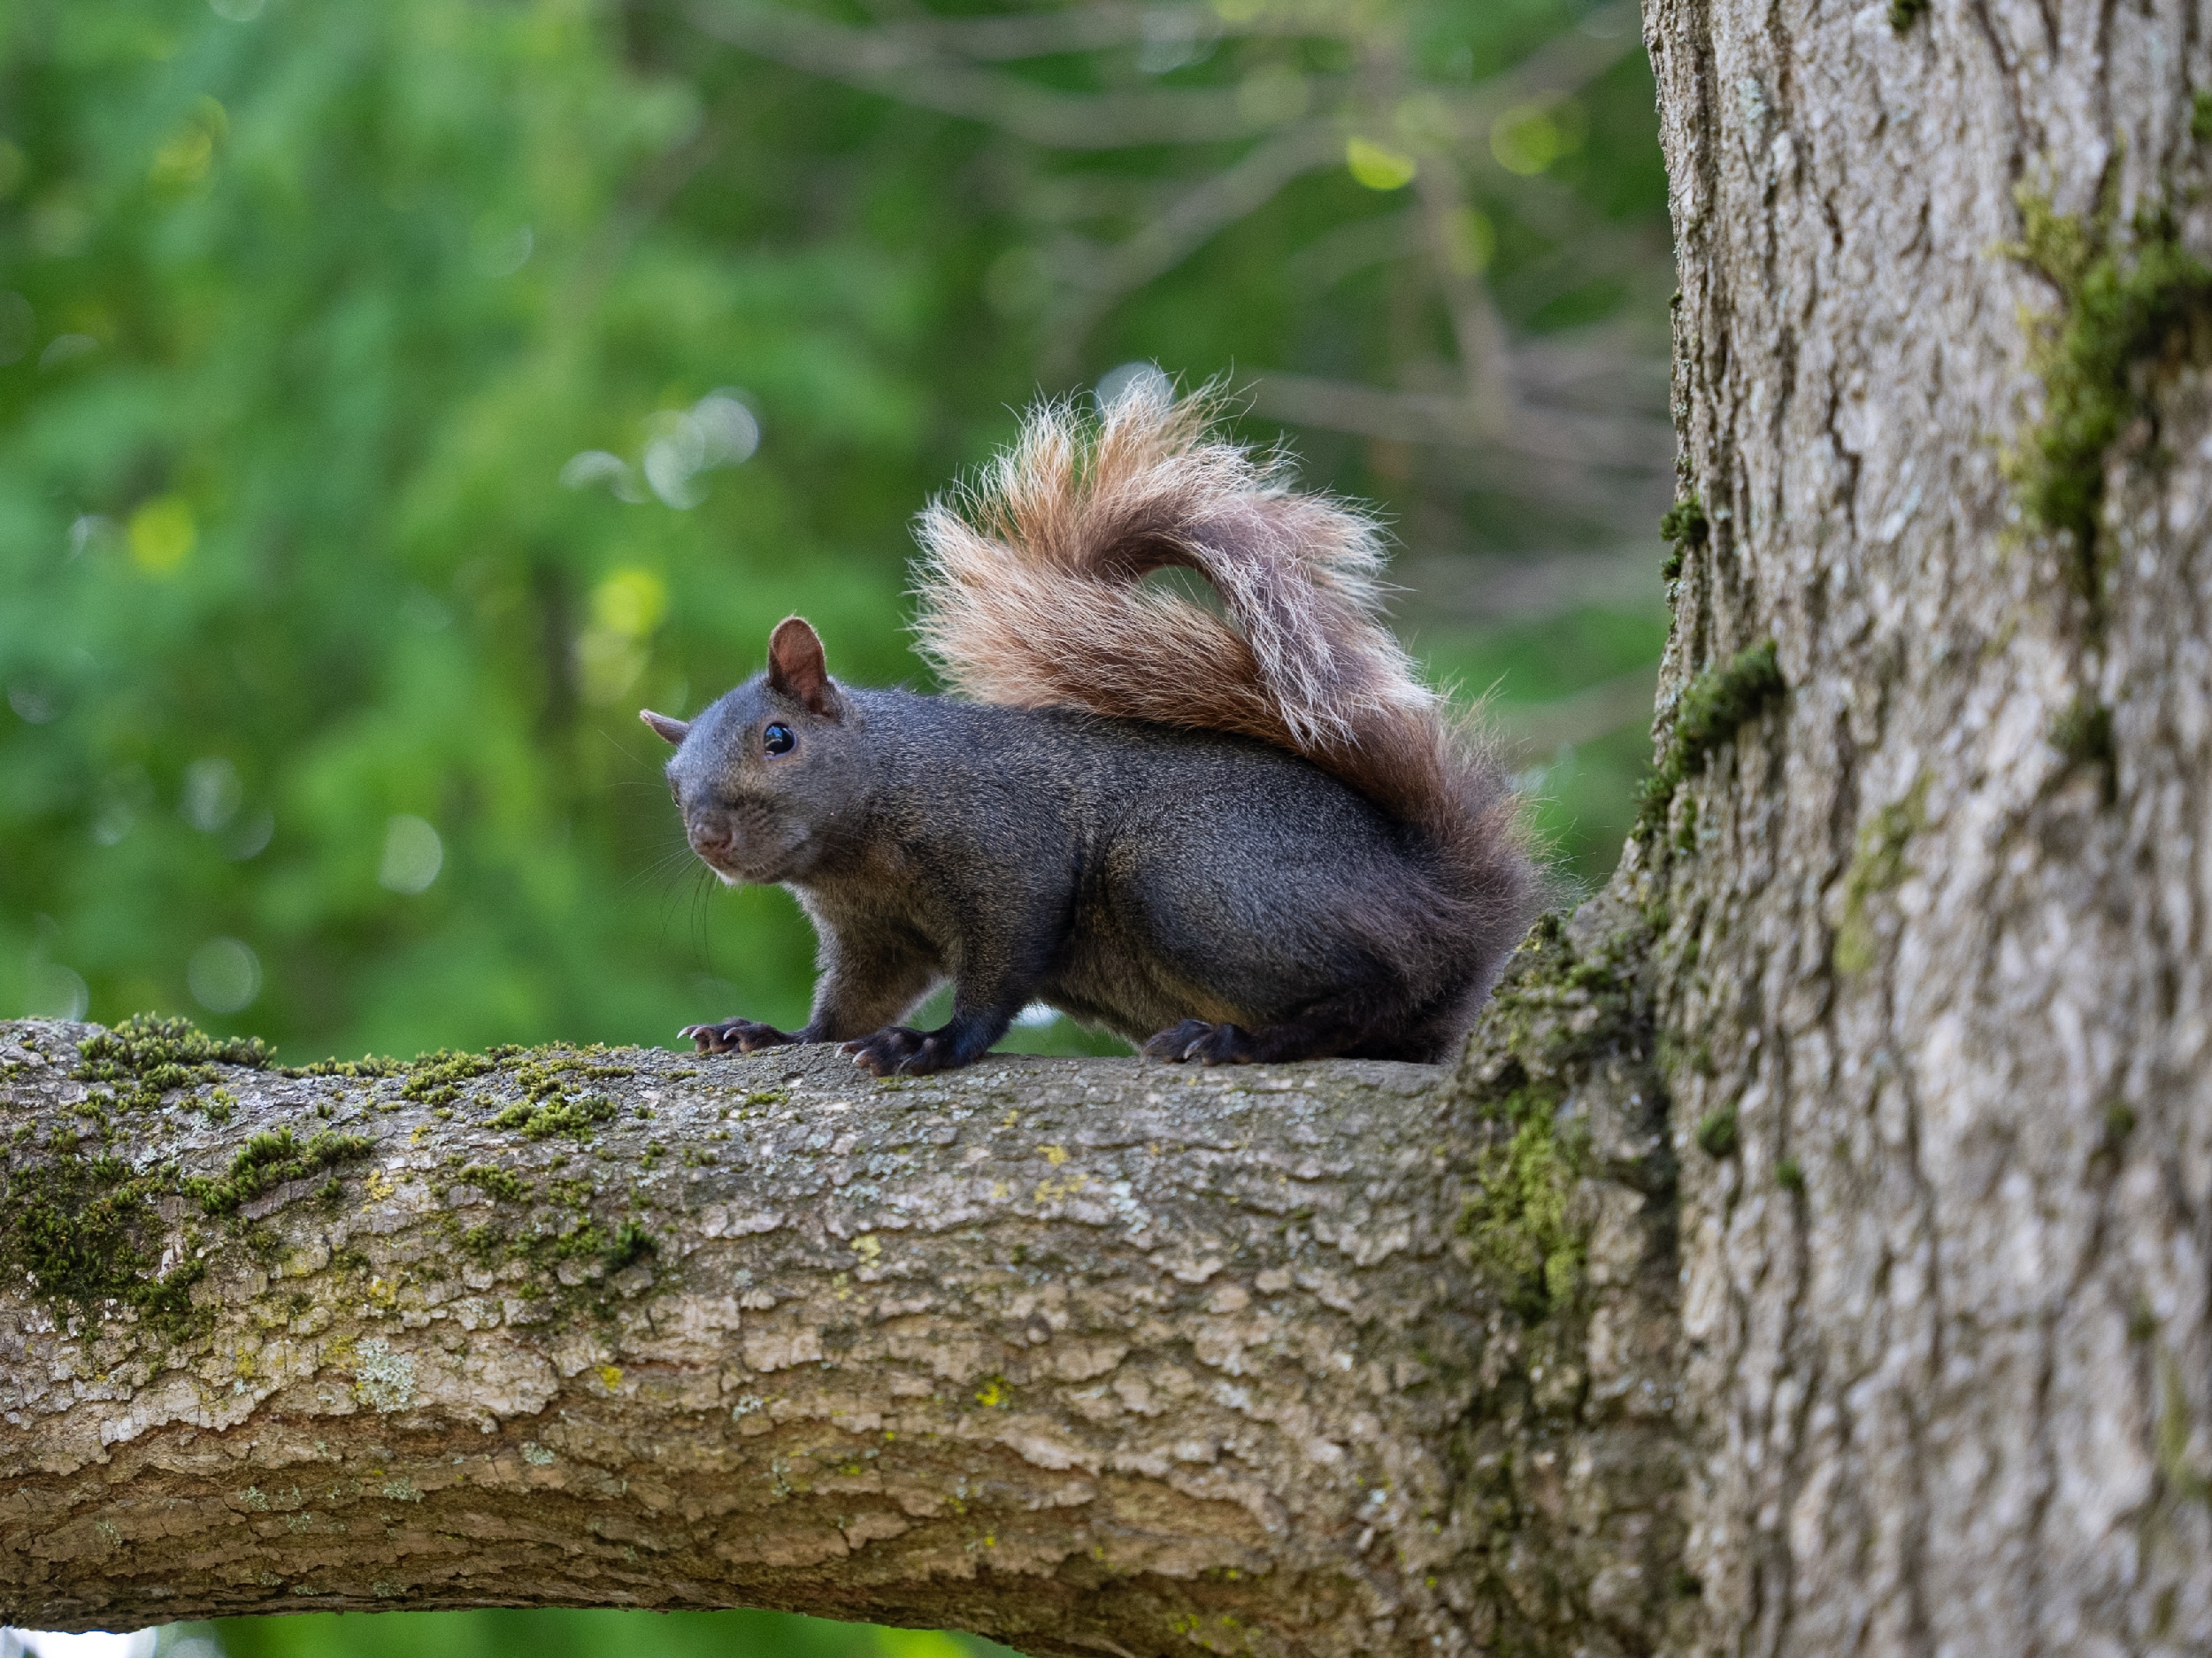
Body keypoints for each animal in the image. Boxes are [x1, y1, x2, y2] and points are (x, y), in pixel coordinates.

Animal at [641, 384, 1540, 1078]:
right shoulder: (873, 935)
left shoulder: (1008, 846)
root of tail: (1441, 907)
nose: (709, 835)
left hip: (1195, 878)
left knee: (1367, 998)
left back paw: (1242, 1041)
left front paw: (933, 1046)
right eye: (673, 785)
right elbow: (849, 1008)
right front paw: (767, 1032)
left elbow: (999, 969)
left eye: (779, 738)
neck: (859, 848)